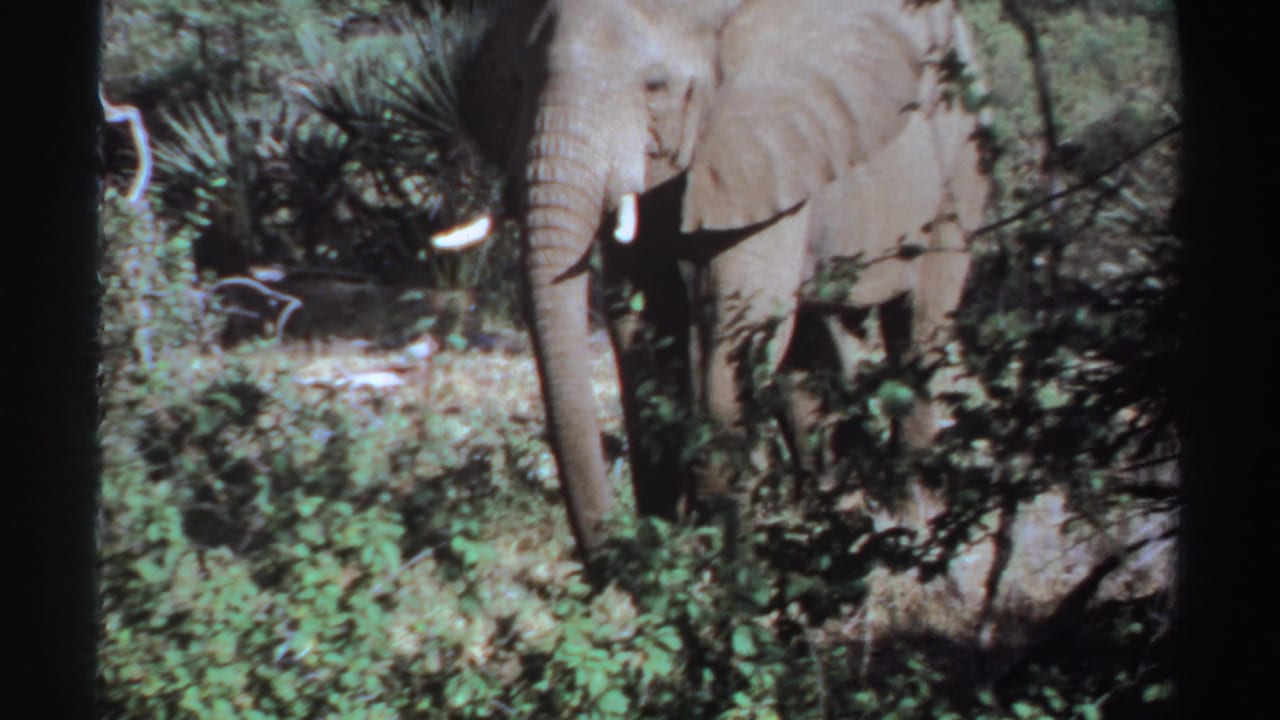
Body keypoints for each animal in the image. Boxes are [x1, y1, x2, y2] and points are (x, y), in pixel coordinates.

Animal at [480, 0, 991, 557]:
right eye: (516, 81)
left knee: (917, 327)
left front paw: (717, 556)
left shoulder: (767, 148)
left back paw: (912, 523)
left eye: (655, 86)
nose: (608, 555)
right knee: (811, 347)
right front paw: (666, 547)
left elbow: (736, 320)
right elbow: (643, 328)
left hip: (961, 152)